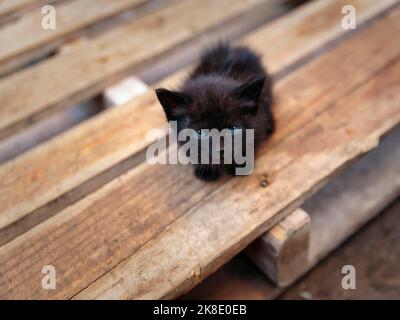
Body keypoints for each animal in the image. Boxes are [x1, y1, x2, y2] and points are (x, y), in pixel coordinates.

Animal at [155, 43, 274, 180]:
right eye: (200, 133)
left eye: (234, 129)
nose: (221, 150)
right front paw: (205, 170)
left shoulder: (259, 121)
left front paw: (239, 165)